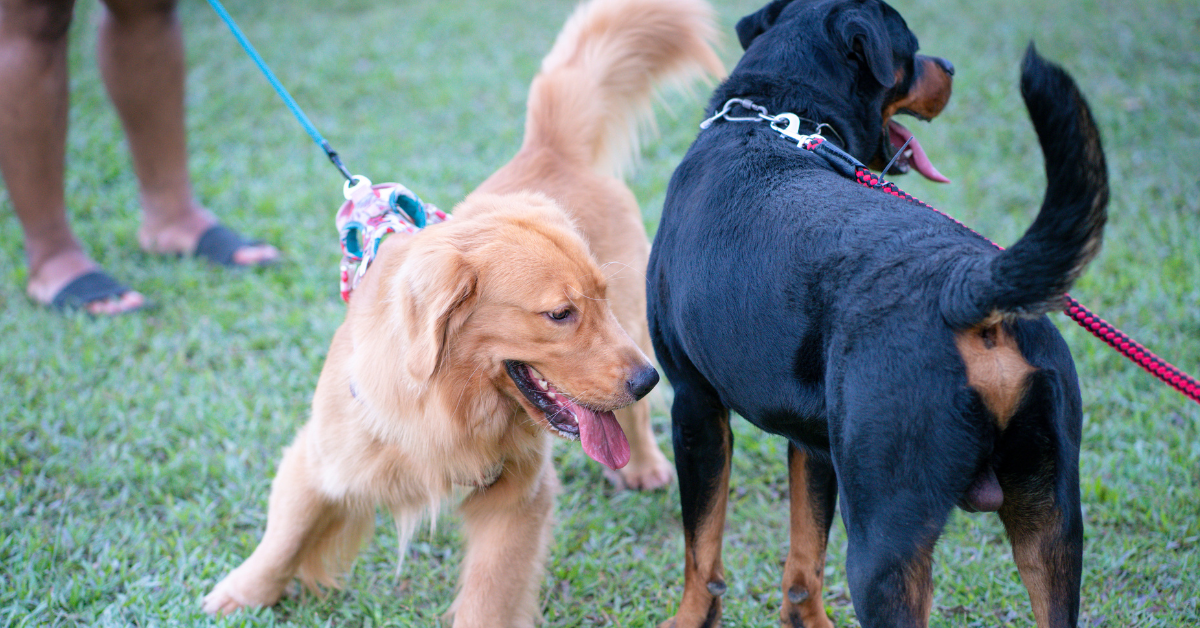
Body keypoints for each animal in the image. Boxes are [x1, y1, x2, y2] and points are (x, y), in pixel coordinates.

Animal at [204, 0, 720, 624]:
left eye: (591, 298)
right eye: (560, 314)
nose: (647, 379)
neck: (451, 406)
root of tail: (548, 148)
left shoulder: (517, 499)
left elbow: (489, 596)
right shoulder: (322, 458)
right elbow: (284, 539)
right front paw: (241, 592)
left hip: (636, 325)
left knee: (632, 418)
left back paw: (642, 463)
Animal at [648, 0, 1104, 624]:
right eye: (912, 52)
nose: (950, 67)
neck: (773, 120)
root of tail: (968, 285)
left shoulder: (694, 407)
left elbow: (702, 553)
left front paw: (689, 616)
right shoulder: (812, 440)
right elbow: (803, 563)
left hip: (884, 540)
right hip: (1052, 522)